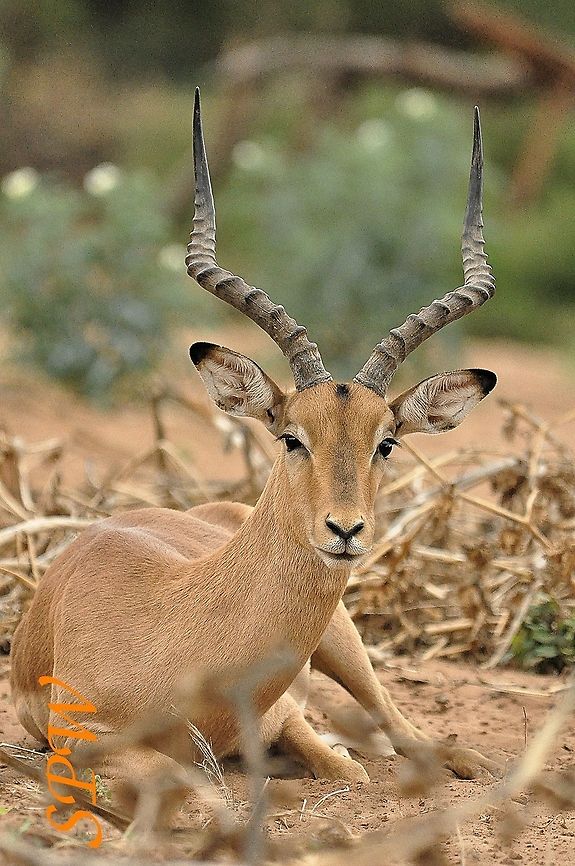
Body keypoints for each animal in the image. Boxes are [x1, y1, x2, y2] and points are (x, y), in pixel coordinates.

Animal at [11, 91, 499, 825]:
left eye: (385, 441)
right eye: (291, 436)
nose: (345, 530)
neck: (176, 630)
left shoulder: (285, 714)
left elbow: (347, 769)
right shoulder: (82, 740)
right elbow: (201, 796)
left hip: (343, 641)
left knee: (404, 726)